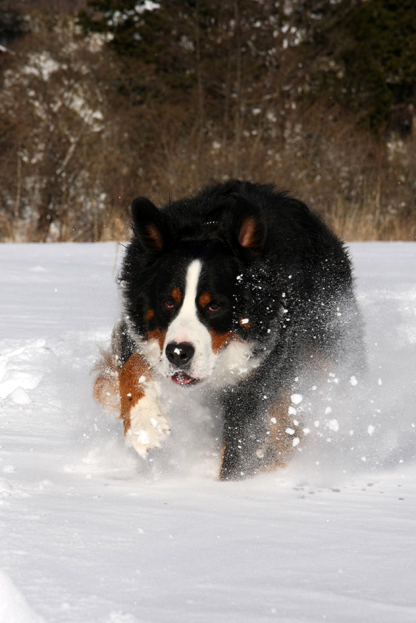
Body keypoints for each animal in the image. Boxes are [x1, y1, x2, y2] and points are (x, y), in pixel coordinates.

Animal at [95, 180, 364, 482]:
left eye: (214, 305)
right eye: (168, 302)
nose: (179, 353)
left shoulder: (259, 373)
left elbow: (240, 445)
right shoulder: (141, 332)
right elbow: (131, 368)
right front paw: (145, 425)